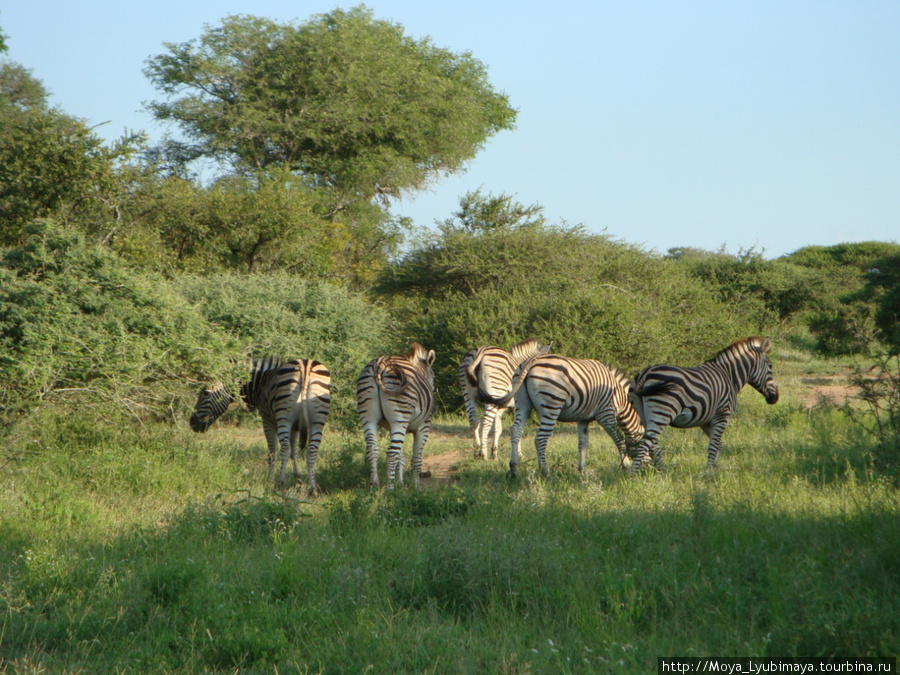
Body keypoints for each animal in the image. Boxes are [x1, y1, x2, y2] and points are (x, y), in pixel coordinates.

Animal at [189, 356, 330, 494]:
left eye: (205, 393)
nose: (192, 423)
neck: (261, 385)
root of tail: (305, 366)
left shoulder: (268, 419)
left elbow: (272, 452)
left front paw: (270, 480)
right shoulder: (295, 425)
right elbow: (294, 452)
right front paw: (298, 480)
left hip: (284, 417)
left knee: (285, 448)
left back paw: (280, 484)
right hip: (317, 420)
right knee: (311, 450)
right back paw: (313, 488)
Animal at [356, 346, 436, 488]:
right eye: (434, 376)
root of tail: (380, 363)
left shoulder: (391, 428)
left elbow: (401, 457)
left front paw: (401, 483)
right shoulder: (424, 426)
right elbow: (416, 457)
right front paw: (416, 487)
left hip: (368, 416)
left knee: (372, 448)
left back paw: (374, 483)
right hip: (400, 418)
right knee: (391, 453)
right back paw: (390, 489)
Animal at [486, 352, 648, 478]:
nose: (647, 470)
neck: (620, 398)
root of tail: (531, 360)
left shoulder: (583, 419)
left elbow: (583, 444)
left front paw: (582, 471)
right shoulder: (606, 413)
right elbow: (618, 439)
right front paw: (626, 465)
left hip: (522, 403)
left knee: (516, 430)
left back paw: (513, 468)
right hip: (551, 404)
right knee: (540, 439)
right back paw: (545, 472)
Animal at [624, 336, 780, 472]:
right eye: (770, 366)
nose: (775, 398)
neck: (729, 376)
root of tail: (644, 374)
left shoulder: (706, 420)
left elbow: (719, 445)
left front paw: (714, 469)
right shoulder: (722, 414)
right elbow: (714, 445)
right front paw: (709, 472)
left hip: (644, 414)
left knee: (652, 443)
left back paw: (662, 470)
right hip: (662, 411)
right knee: (645, 443)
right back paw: (635, 476)